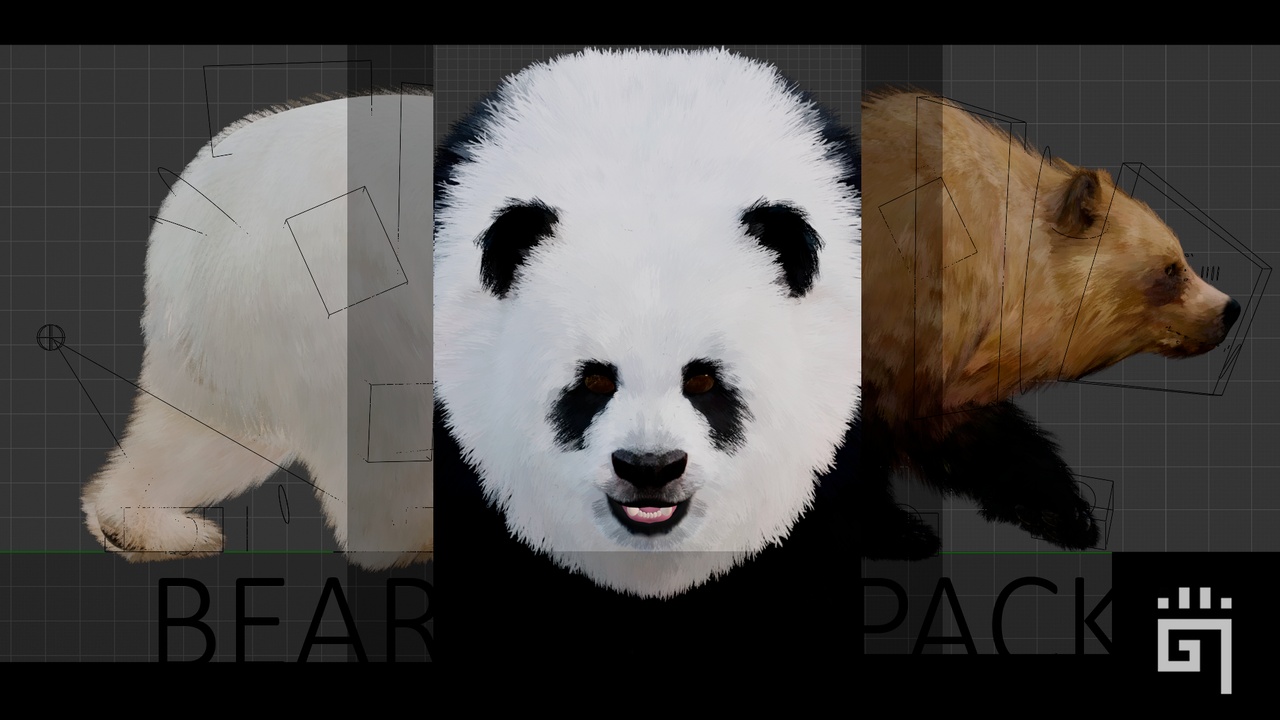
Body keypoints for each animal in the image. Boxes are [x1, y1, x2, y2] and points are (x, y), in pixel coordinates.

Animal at [80, 88, 435, 570]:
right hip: (347, 301)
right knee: (388, 421)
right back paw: (414, 538)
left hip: (219, 342)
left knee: (198, 429)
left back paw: (151, 528)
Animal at [859, 90, 1241, 559]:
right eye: (1171, 269)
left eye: (1182, 257)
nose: (1229, 309)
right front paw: (900, 533)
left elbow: (981, 439)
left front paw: (1068, 515)